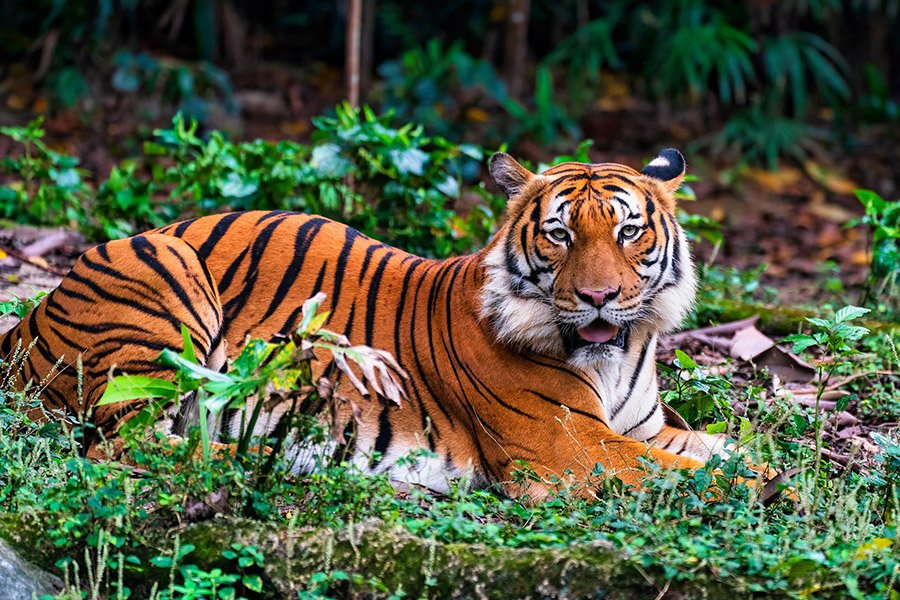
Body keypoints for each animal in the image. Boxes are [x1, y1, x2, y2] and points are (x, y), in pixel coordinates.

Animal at [0, 148, 730, 498]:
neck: (617, 354)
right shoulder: (569, 447)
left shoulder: (642, 431)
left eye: (628, 231)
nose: (599, 296)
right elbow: (702, 475)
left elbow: (721, 452)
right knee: (134, 445)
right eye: (559, 234)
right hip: (165, 276)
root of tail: (28, 319)